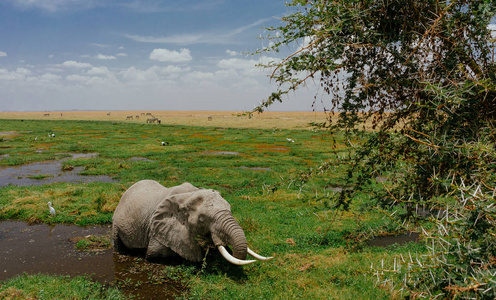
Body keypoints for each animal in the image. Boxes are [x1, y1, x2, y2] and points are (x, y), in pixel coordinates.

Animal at [111, 179, 272, 264]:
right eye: (202, 219)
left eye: (230, 209)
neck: (189, 194)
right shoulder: (159, 228)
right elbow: (155, 254)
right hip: (116, 222)